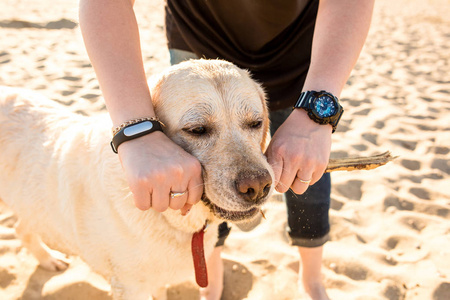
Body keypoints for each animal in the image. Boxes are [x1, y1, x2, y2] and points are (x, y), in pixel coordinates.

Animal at [0, 59, 274, 300]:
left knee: (21, 228)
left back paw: (49, 260)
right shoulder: (130, 287)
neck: (167, 215)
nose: (259, 187)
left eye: (256, 123)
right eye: (197, 130)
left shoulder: (157, 281)